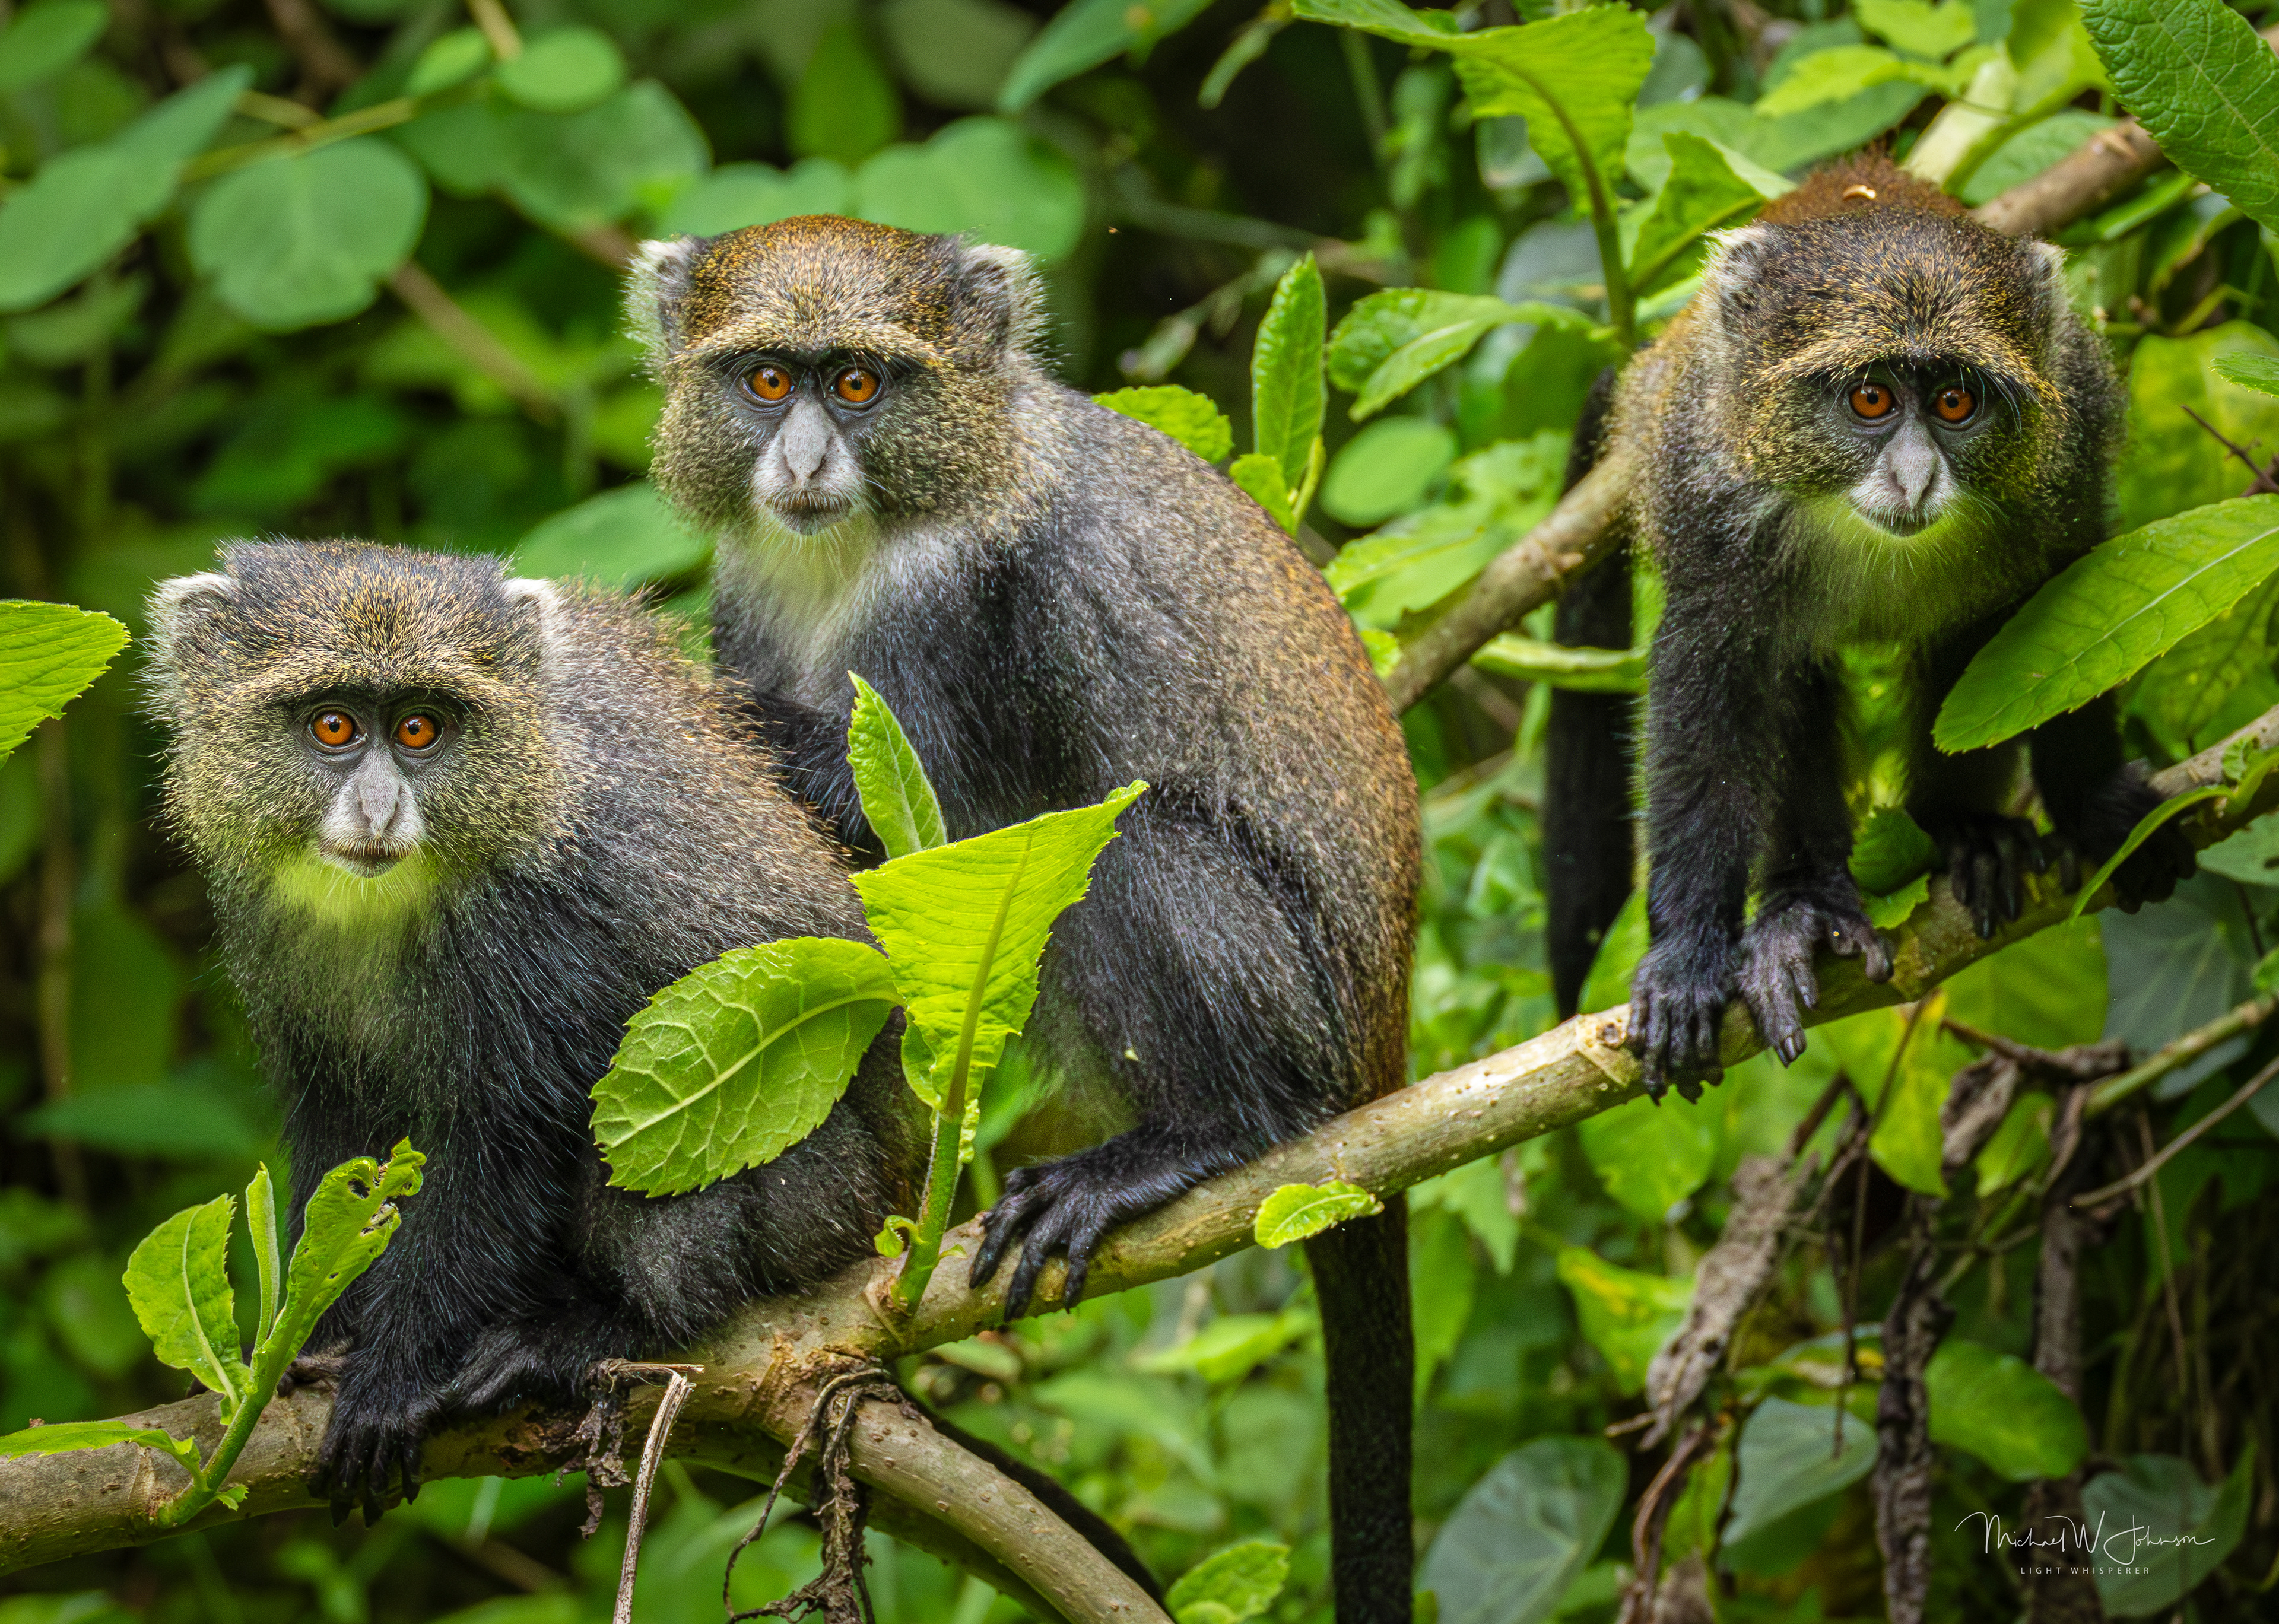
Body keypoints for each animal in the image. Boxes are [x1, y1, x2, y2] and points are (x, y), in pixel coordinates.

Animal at [625, 215, 1425, 1622]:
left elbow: (920, 842)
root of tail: (1379, 1059)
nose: (803, 463)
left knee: (1135, 849)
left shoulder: (961, 610)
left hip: (1295, 1012)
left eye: (859, 384)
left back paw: (1207, 1135)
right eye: (768, 381)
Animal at [1558, 154, 2192, 1099]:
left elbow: (2068, 608)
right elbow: (1712, 705)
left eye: (1957, 402)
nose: (1916, 477)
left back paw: (1964, 831)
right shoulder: (1708, 501)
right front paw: (1687, 956)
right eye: (1870, 398)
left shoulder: (2071, 458)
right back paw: (1806, 904)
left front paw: (2097, 803)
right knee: (1794, 682)